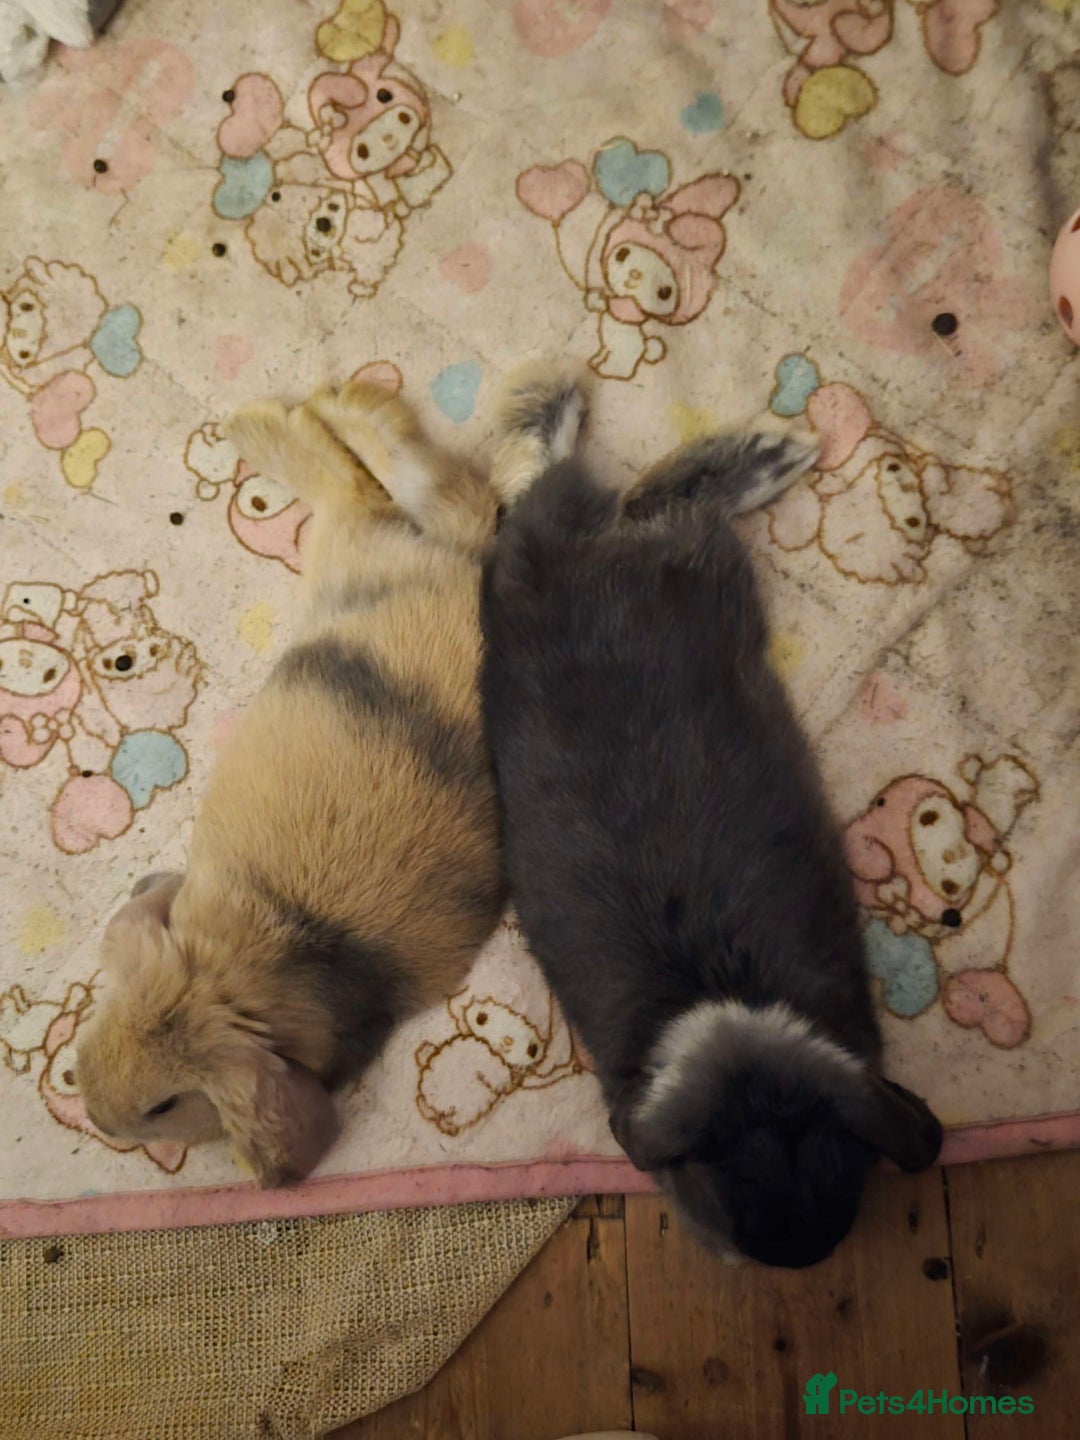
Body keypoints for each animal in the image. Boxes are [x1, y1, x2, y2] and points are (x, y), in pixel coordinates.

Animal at [76, 377, 504, 1187]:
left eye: (163, 1106)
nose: (94, 1114)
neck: (231, 973)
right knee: (421, 490)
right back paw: (324, 406)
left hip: (348, 555)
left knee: (380, 489)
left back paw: (286, 418)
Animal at [480, 366, 944, 1268]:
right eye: (724, 1179)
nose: (798, 1254)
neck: (726, 994)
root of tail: (567, 561)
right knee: (624, 490)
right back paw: (766, 452)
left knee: (608, 489)